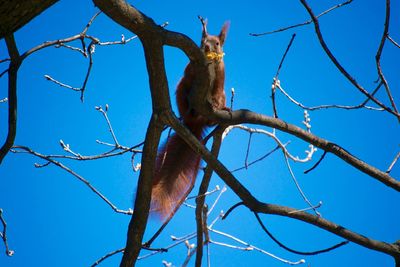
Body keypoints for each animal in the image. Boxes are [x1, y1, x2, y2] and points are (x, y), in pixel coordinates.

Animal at [151, 19, 231, 220]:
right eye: (202, 40)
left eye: (217, 43)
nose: (206, 47)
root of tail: (193, 124)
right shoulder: (190, 72)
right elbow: (188, 78)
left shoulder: (220, 78)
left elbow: (217, 90)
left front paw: (217, 105)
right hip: (181, 93)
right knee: (185, 93)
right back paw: (191, 109)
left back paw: (219, 112)